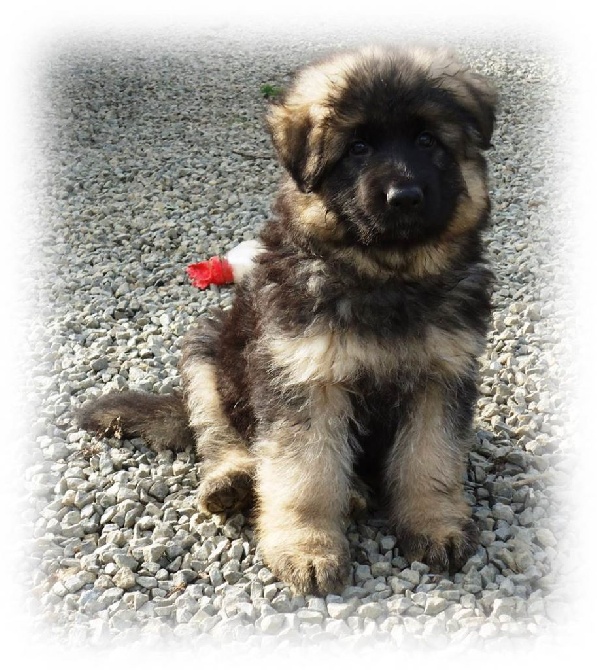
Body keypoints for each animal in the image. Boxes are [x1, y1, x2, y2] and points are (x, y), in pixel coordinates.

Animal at [80, 44, 498, 596]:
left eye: (428, 140)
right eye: (358, 148)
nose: (404, 197)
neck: (385, 275)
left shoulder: (442, 376)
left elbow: (431, 460)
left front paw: (435, 524)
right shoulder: (304, 378)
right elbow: (307, 474)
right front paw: (307, 547)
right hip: (207, 352)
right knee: (221, 435)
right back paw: (235, 482)